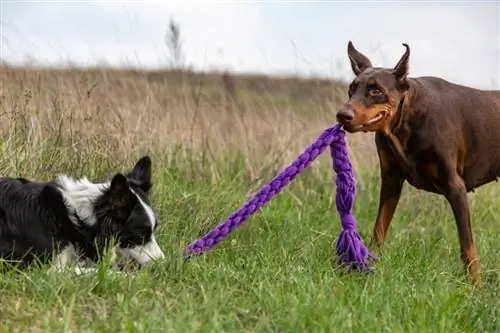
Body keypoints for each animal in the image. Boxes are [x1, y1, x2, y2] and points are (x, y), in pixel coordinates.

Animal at [338, 40, 500, 284]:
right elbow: (379, 229)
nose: (341, 115)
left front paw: (475, 286)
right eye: (352, 89)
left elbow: (467, 246)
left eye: (376, 90)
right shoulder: (391, 180)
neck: (407, 120)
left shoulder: (456, 187)